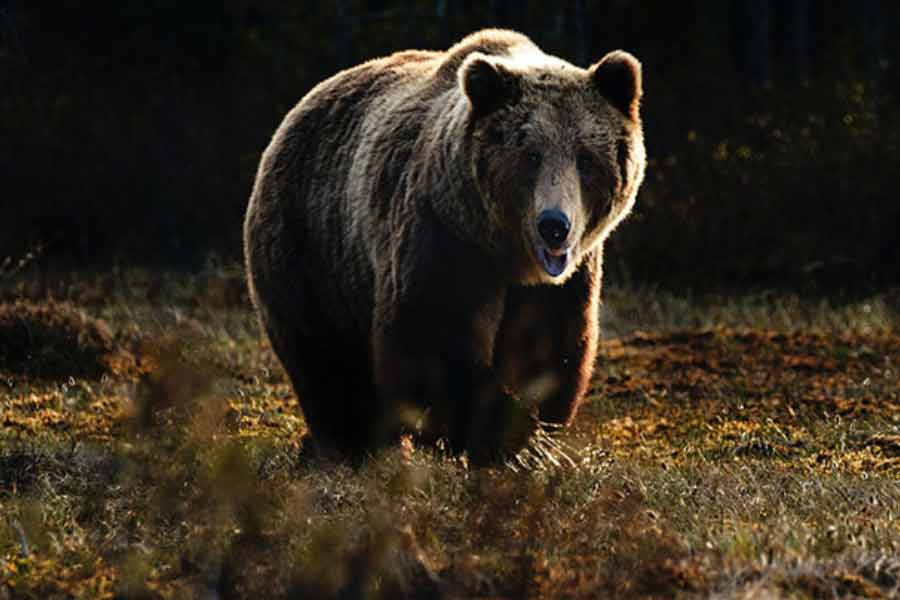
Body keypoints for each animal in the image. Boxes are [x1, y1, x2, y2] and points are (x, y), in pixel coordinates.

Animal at [244, 29, 646, 464]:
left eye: (585, 158)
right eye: (531, 156)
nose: (554, 226)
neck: (507, 253)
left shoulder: (564, 281)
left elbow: (547, 346)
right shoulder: (443, 237)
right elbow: (431, 336)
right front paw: (516, 438)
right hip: (311, 246)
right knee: (326, 362)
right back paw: (350, 446)